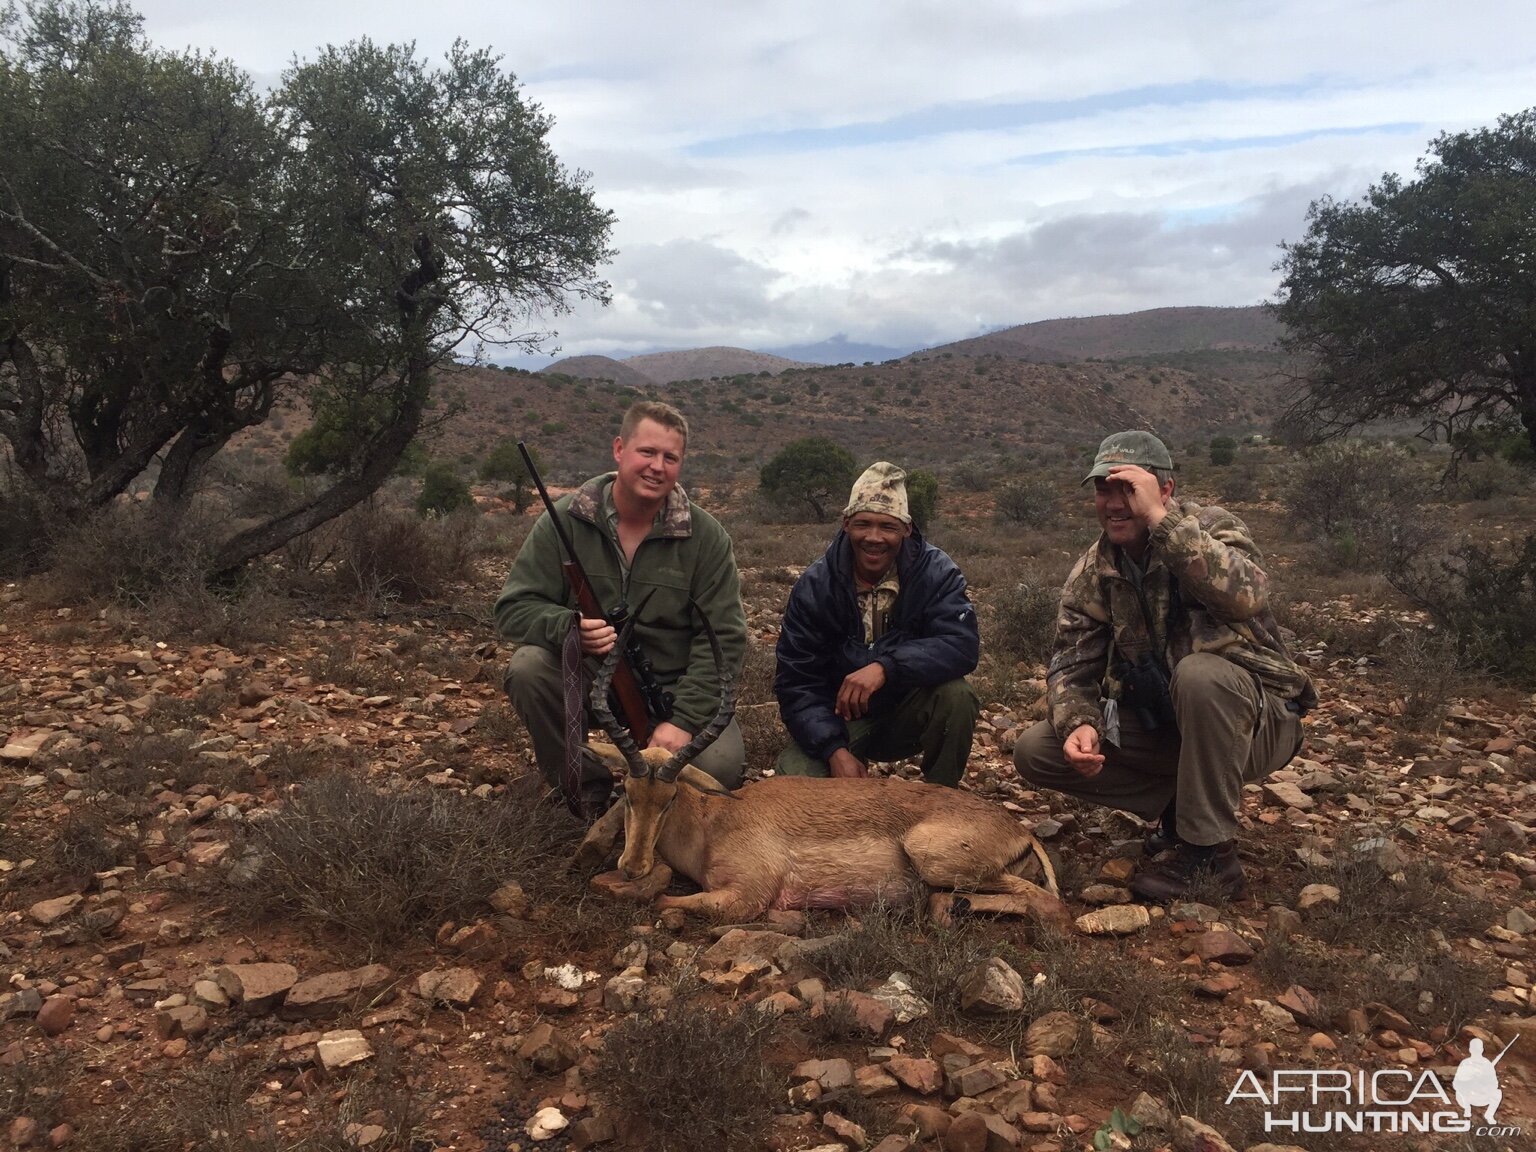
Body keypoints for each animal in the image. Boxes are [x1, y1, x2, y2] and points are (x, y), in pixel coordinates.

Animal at [577, 617, 1069, 927]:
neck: (713, 821)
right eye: (628, 791)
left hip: (935, 859)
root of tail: (1018, 831)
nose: (631, 866)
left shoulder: (744, 896)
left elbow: (664, 897)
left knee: (1046, 902)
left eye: (671, 797)